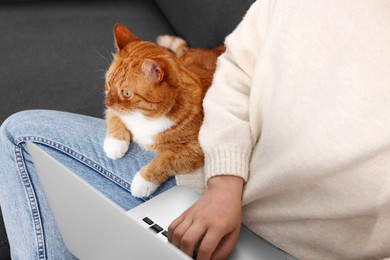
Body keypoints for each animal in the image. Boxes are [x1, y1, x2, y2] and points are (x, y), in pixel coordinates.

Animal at [103, 23, 224, 197]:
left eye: (126, 93)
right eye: (108, 83)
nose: (107, 102)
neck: (144, 116)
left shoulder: (196, 149)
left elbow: (165, 161)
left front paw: (142, 182)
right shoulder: (115, 109)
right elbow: (114, 118)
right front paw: (115, 144)